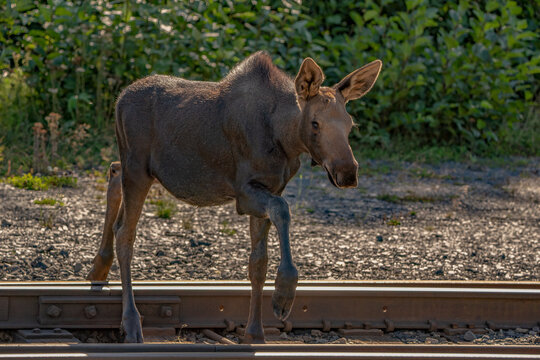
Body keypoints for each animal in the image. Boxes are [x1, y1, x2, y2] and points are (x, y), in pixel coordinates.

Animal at [86, 51, 382, 344]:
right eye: (315, 123)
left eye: (350, 124)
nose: (348, 172)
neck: (285, 139)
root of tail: (119, 99)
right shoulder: (245, 192)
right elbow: (282, 211)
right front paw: (283, 296)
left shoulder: (270, 188)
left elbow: (258, 262)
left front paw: (255, 332)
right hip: (138, 168)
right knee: (125, 232)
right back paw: (131, 322)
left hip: (138, 168)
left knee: (114, 172)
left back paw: (99, 268)